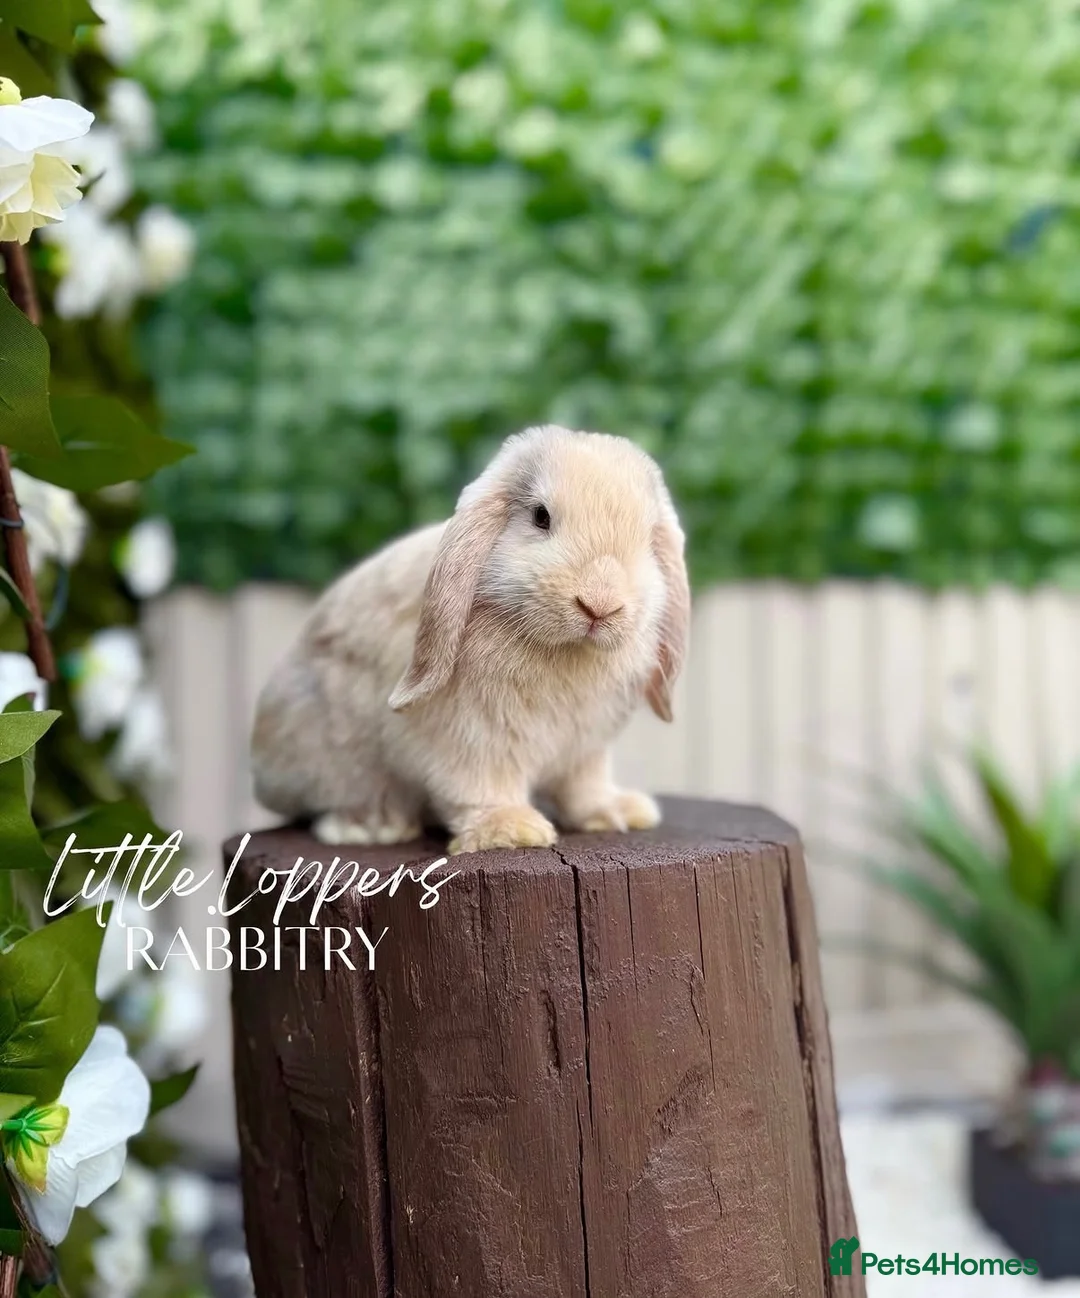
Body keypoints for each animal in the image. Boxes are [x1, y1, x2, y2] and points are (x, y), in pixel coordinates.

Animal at [250, 424, 691, 855]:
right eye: (541, 516)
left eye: (648, 536)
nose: (600, 605)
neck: (567, 651)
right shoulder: (471, 738)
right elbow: (479, 786)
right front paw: (510, 831)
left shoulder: (585, 749)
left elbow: (584, 788)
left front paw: (618, 813)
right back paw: (372, 827)